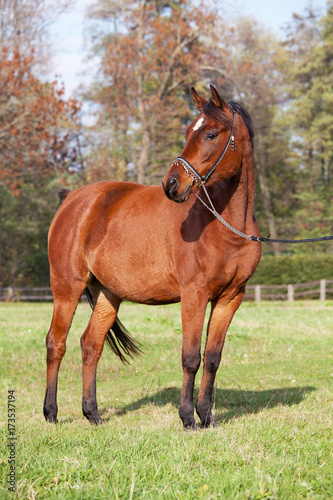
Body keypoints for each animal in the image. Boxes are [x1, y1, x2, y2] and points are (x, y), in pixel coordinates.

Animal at [42, 84, 260, 428]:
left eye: (211, 134)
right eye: (188, 131)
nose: (171, 185)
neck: (227, 228)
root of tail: (72, 199)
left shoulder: (230, 298)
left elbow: (212, 358)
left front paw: (206, 416)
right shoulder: (194, 295)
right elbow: (190, 357)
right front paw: (187, 418)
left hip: (108, 294)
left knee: (91, 345)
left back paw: (93, 414)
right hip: (66, 288)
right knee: (56, 343)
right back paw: (51, 413)